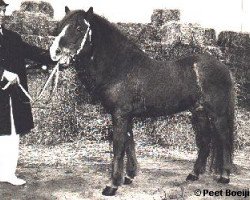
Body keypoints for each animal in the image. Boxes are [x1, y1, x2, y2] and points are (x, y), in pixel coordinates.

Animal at [49, 7, 235, 196]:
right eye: (60, 27)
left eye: (79, 28)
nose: (54, 52)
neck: (121, 68)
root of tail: (224, 69)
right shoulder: (126, 116)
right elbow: (129, 143)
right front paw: (129, 176)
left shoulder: (120, 115)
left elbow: (118, 148)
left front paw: (112, 185)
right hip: (199, 113)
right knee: (205, 141)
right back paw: (194, 174)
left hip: (217, 115)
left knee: (224, 139)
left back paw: (224, 176)